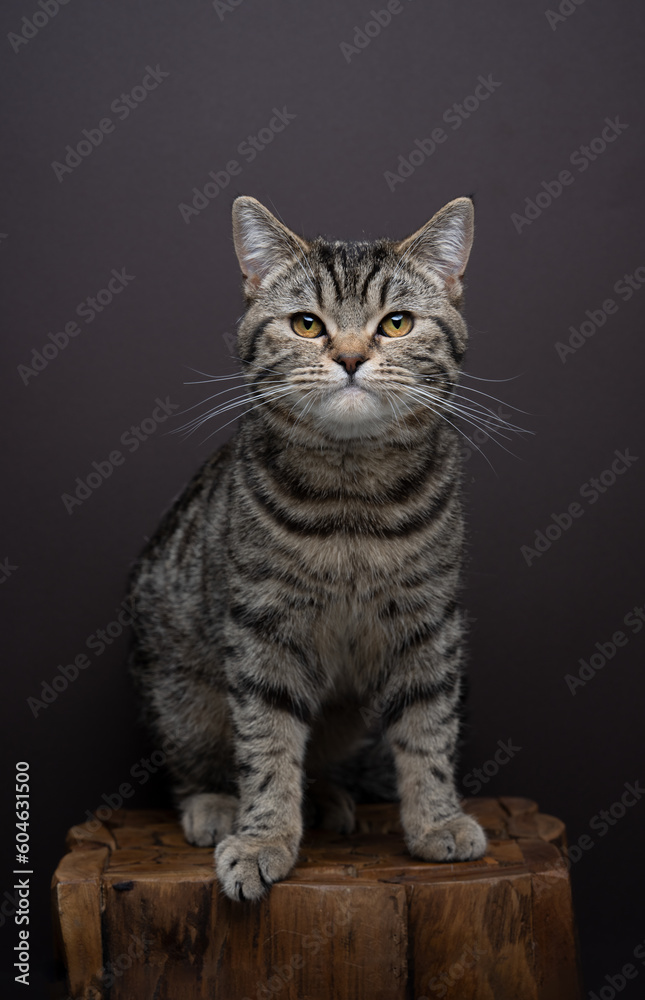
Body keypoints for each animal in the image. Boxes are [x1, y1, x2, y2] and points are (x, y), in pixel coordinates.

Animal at [128, 193, 486, 900]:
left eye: (396, 324)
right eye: (305, 324)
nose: (348, 357)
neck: (353, 502)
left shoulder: (431, 621)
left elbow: (428, 729)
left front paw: (436, 819)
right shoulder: (260, 627)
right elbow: (266, 743)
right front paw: (263, 837)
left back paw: (324, 798)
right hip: (181, 691)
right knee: (199, 761)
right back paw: (217, 804)